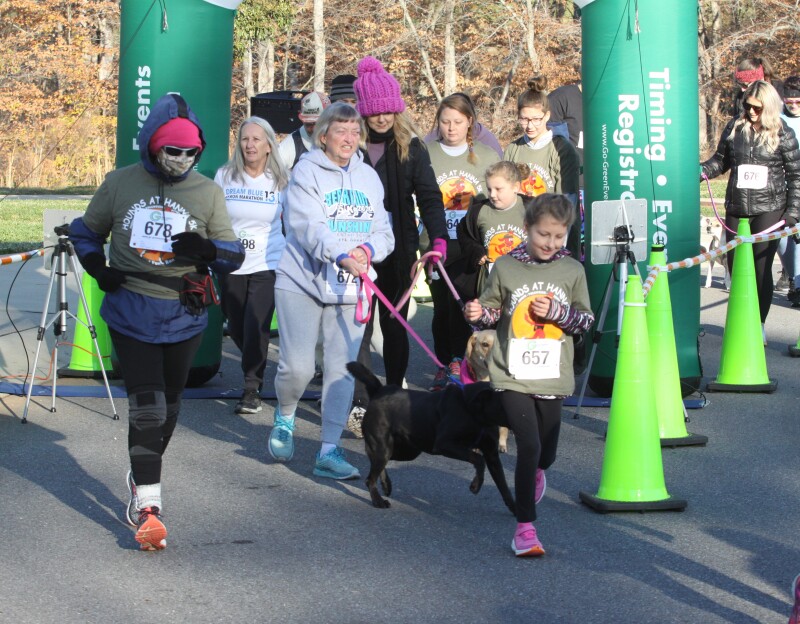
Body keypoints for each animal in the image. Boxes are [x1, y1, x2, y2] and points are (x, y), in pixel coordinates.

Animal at [346, 360, 516, 512]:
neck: (475, 413)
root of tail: (380, 391)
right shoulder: (445, 443)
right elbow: (478, 460)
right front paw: (475, 485)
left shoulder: (492, 454)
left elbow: (503, 485)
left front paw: (516, 510)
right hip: (385, 447)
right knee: (370, 477)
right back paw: (378, 500)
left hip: (406, 450)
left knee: (376, 462)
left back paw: (386, 485)